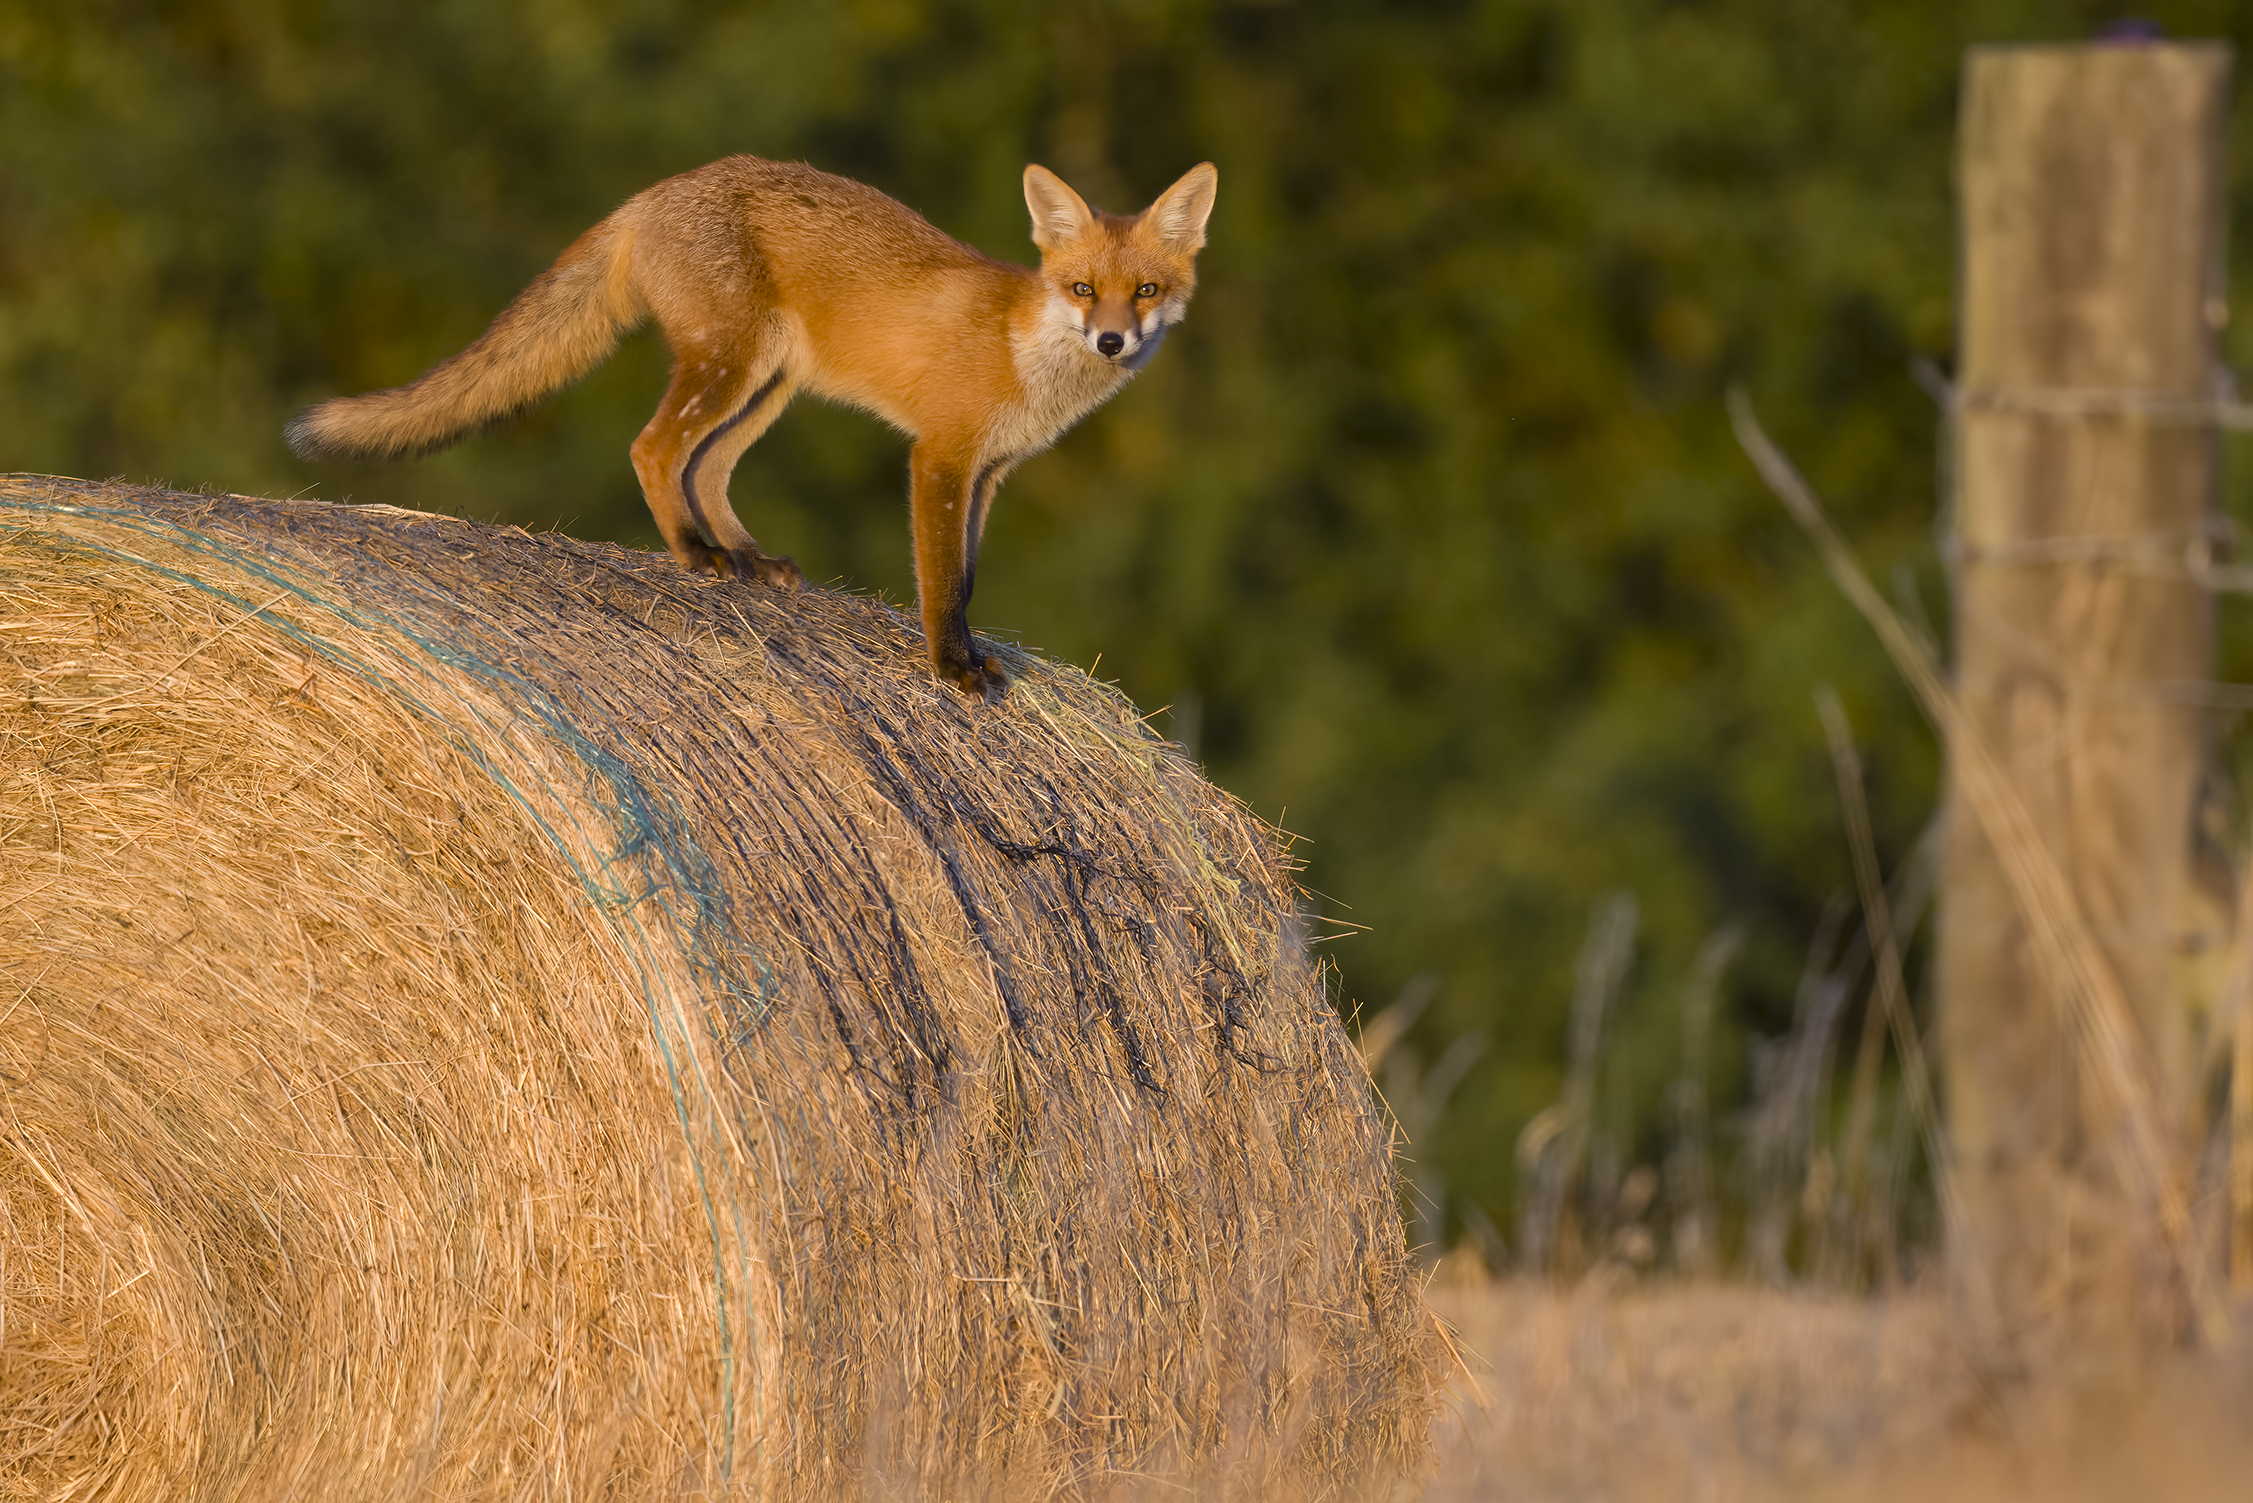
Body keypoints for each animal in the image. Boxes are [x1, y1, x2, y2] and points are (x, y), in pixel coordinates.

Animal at [286, 155, 1218, 698]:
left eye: (1143, 291)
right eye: (1080, 288)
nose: (1111, 341)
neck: (1027, 353)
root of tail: (655, 191)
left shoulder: (989, 473)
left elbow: (966, 580)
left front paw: (967, 653)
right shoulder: (940, 458)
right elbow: (938, 581)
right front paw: (949, 668)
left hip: (767, 385)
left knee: (707, 468)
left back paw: (744, 557)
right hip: (729, 366)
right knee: (654, 449)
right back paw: (693, 554)